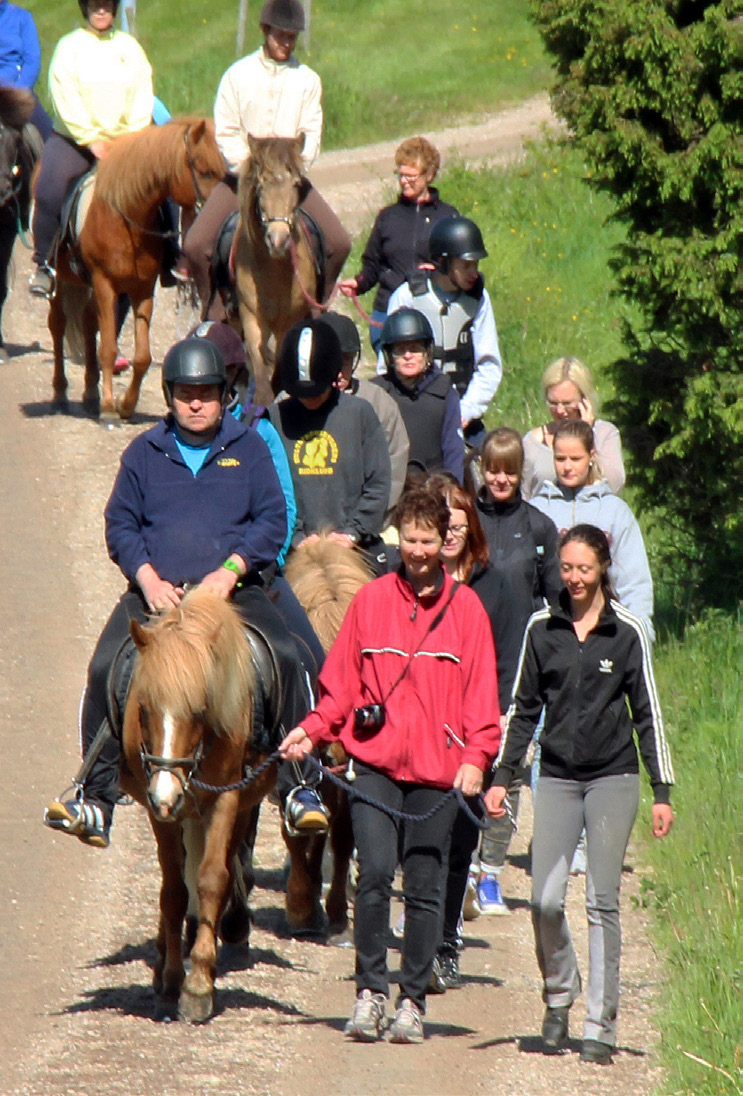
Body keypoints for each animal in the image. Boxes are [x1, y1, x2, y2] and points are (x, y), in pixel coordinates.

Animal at [51, 118, 222, 418]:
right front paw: (109, 408)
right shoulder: (104, 283)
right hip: (63, 278)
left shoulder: (142, 288)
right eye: (205, 172)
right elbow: (107, 349)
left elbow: (142, 356)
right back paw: (61, 393)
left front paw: (126, 405)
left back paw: (90, 394)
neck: (126, 221)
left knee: (87, 321)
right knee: (58, 324)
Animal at [120, 587, 278, 1021]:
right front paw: (173, 976)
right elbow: (173, 889)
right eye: (143, 708)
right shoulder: (160, 812)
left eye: (201, 708)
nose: (166, 794)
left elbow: (210, 880)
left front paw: (199, 985)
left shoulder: (225, 799)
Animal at [235, 134, 317, 405]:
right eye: (260, 185)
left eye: (296, 184)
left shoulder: (289, 321)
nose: (278, 240)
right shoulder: (250, 316)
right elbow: (258, 365)